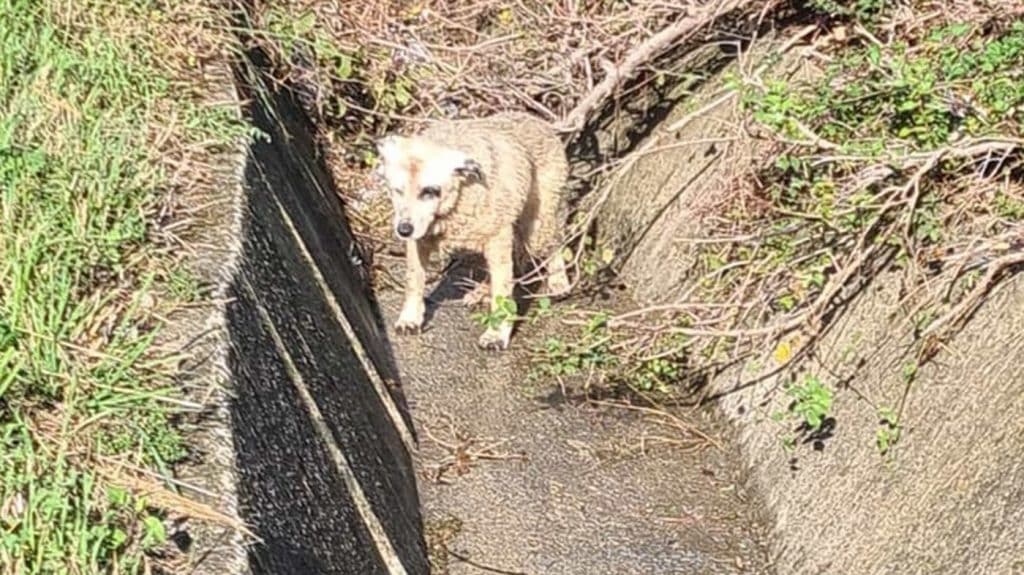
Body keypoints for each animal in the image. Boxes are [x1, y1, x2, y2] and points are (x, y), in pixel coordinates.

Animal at [376, 109, 573, 347]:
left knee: (553, 242)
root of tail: (539, 122)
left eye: (430, 191)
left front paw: (496, 334)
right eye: (396, 190)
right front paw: (410, 318)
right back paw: (482, 291)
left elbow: (502, 291)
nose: (403, 230)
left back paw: (558, 281)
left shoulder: (498, 237)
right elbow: (414, 279)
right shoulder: (419, 239)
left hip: (537, 226)